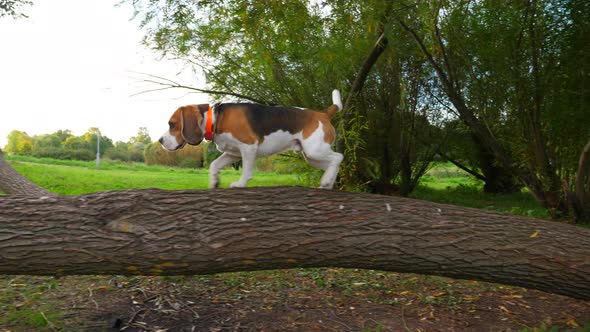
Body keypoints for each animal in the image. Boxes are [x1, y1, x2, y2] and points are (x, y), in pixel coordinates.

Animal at [161, 89, 346, 189]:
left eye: (172, 124)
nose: (160, 141)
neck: (216, 118)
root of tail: (323, 113)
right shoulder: (233, 153)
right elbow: (214, 165)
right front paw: (214, 182)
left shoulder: (248, 147)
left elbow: (247, 171)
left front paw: (240, 184)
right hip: (312, 157)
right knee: (333, 164)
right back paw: (327, 182)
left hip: (315, 151)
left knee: (338, 157)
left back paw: (327, 180)